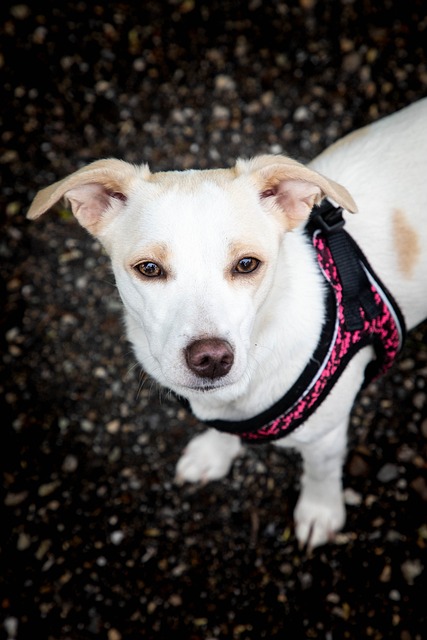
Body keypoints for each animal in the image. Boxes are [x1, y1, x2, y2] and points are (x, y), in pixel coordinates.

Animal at [28, 97, 427, 548]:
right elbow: (222, 429)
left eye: (247, 264)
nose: (211, 359)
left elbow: (321, 472)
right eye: (149, 268)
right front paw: (213, 454)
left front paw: (320, 511)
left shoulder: (326, 436)